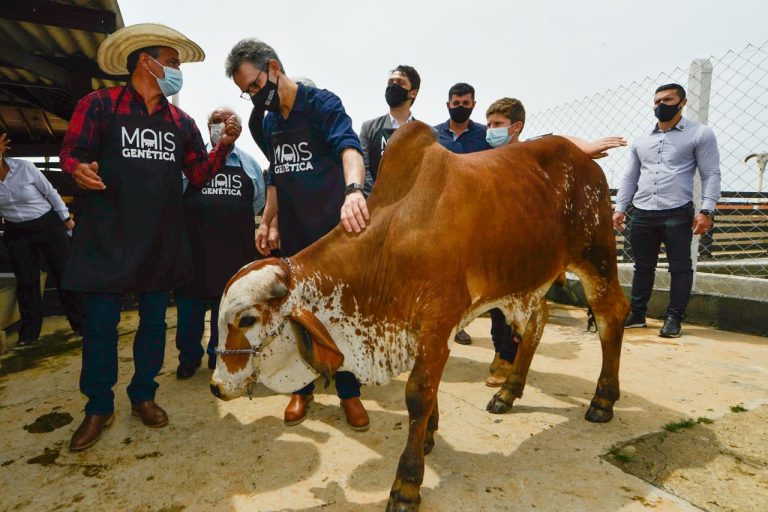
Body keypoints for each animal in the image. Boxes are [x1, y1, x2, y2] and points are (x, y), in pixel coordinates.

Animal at [212, 121, 632, 512]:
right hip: (529, 278)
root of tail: (583, 158)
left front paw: (407, 484)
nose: (216, 386)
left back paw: (602, 400)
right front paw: (430, 434)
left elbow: (417, 394)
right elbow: (430, 391)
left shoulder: (438, 323)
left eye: (246, 320)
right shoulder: (420, 329)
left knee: (612, 315)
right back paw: (508, 392)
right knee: (535, 324)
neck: (391, 239)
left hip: (596, 257)